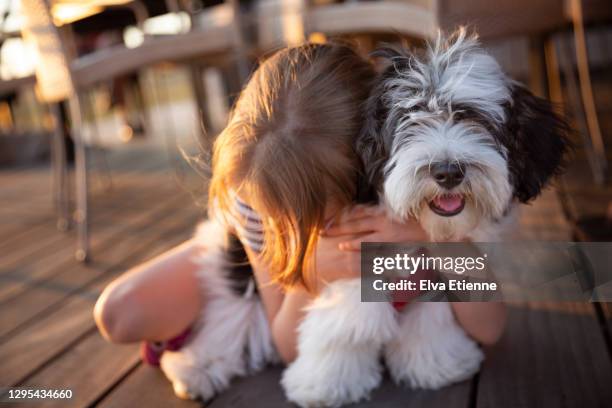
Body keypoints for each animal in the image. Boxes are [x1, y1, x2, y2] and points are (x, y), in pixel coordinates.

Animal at [158, 29, 568, 408]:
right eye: (409, 121)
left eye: (476, 119)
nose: (448, 171)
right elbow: (347, 323)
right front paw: (325, 384)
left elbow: (431, 314)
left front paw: (436, 363)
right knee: (229, 321)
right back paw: (195, 369)